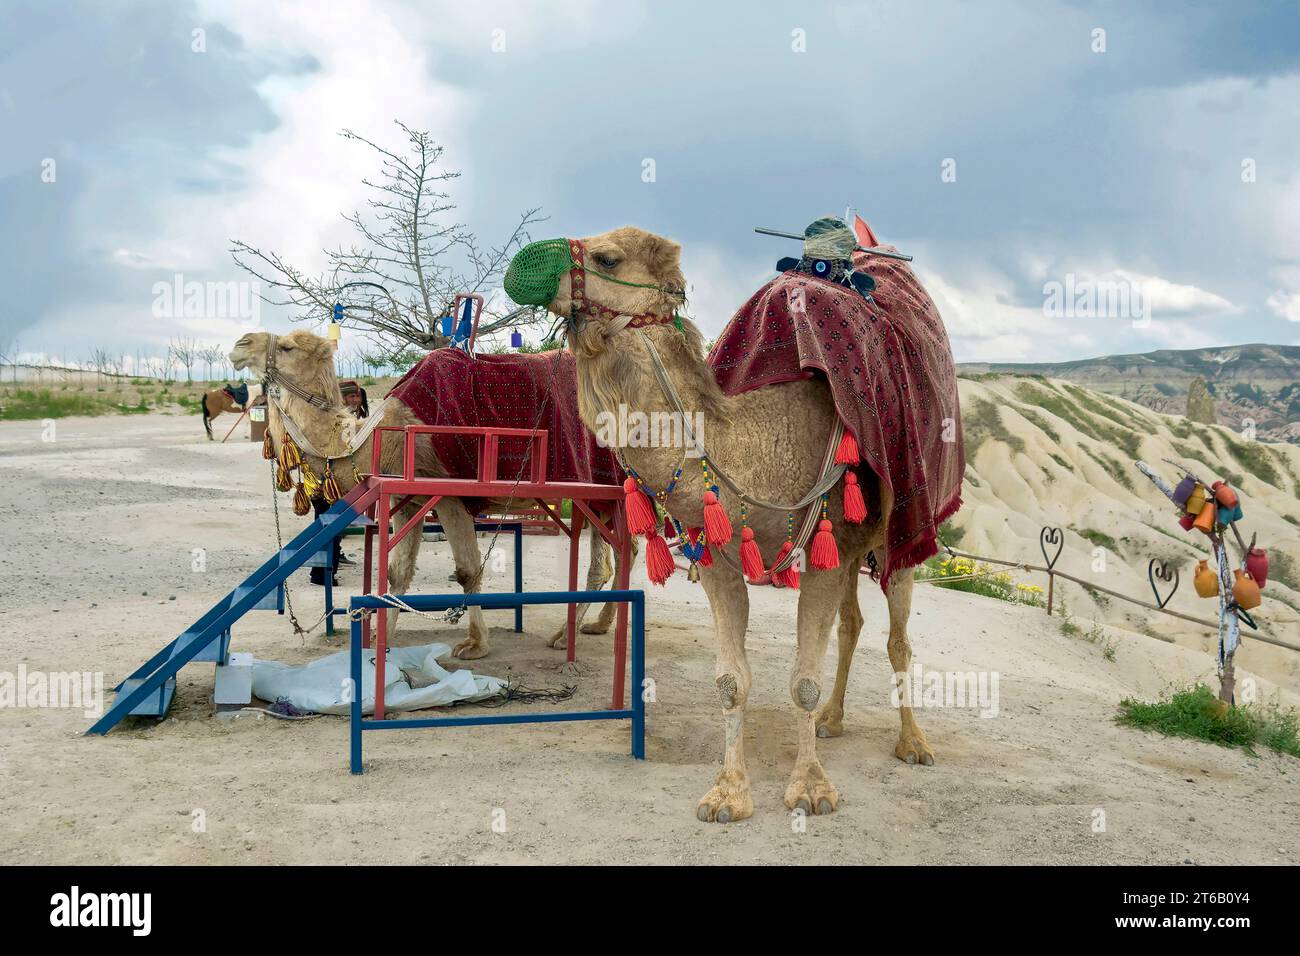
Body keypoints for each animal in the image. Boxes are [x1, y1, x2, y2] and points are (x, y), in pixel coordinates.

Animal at [228, 330, 622, 659]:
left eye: (287, 347)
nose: (240, 344)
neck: (380, 437)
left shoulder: (448, 496)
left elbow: (467, 571)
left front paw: (475, 645)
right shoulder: (405, 501)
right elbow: (397, 573)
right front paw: (380, 639)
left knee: (608, 559)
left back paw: (566, 634)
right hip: (603, 498)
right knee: (618, 555)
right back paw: (597, 626)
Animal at [517, 226, 936, 823]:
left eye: (608, 257)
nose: (524, 263)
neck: (755, 451)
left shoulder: (821, 556)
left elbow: (802, 682)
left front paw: (810, 788)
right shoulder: (721, 563)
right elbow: (730, 682)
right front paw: (728, 793)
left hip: (897, 536)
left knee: (898, 637)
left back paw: (913, 743)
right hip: (852, 550)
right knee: (852, 624)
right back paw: (833, 721)